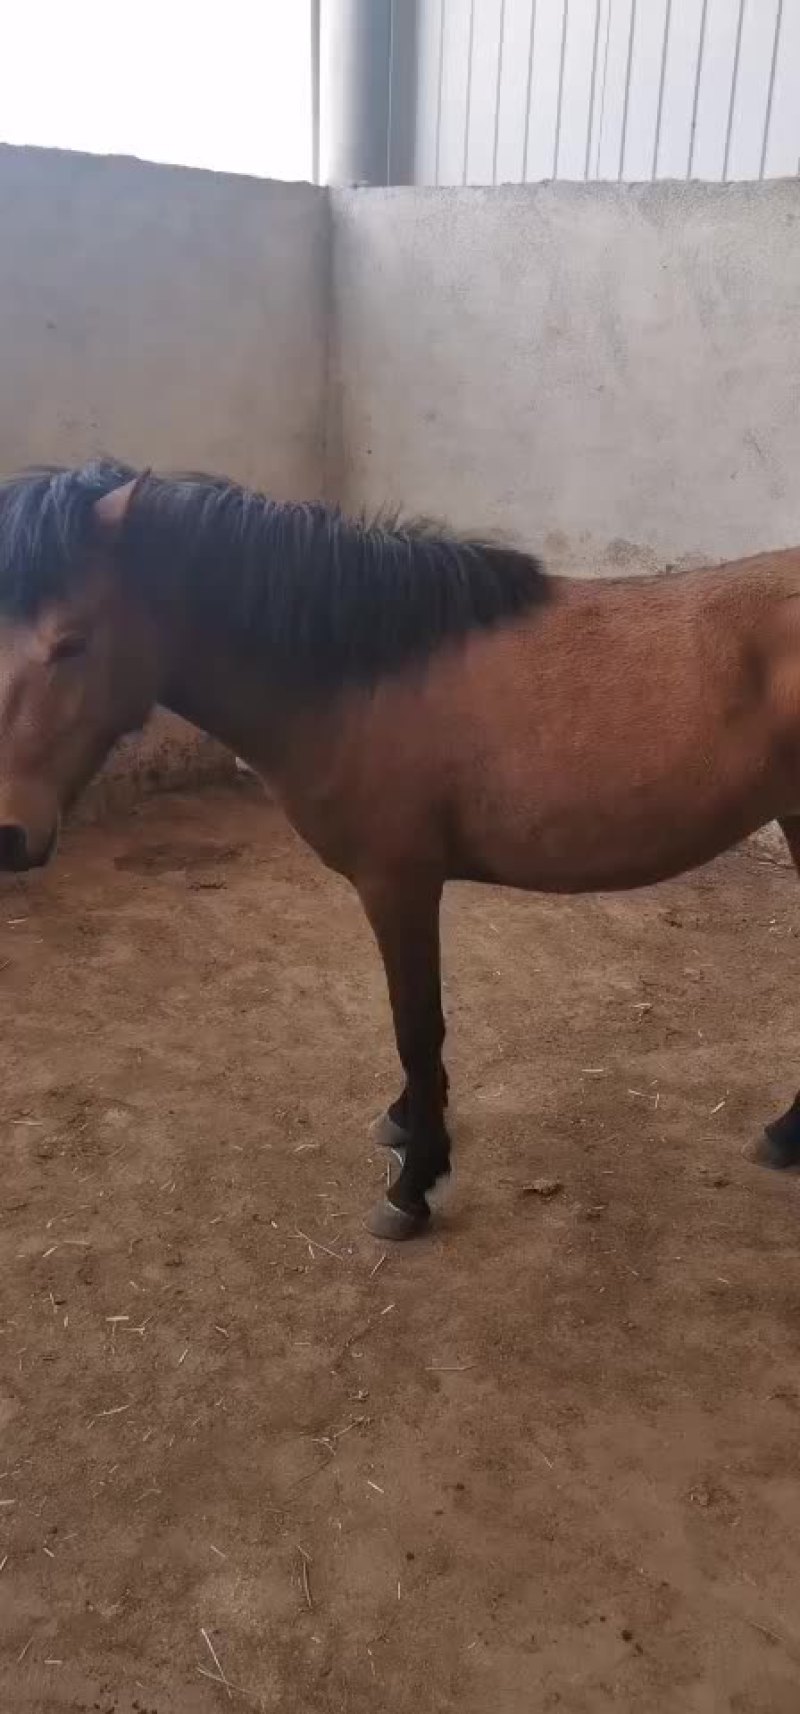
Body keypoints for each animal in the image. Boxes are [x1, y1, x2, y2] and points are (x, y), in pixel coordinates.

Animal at [0, 459, 799, 1241]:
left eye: (71, 642)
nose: (8, 835)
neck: (365, 675)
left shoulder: (398, 882)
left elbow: (416, 1027)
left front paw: (415, 1184)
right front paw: (408, 1122)